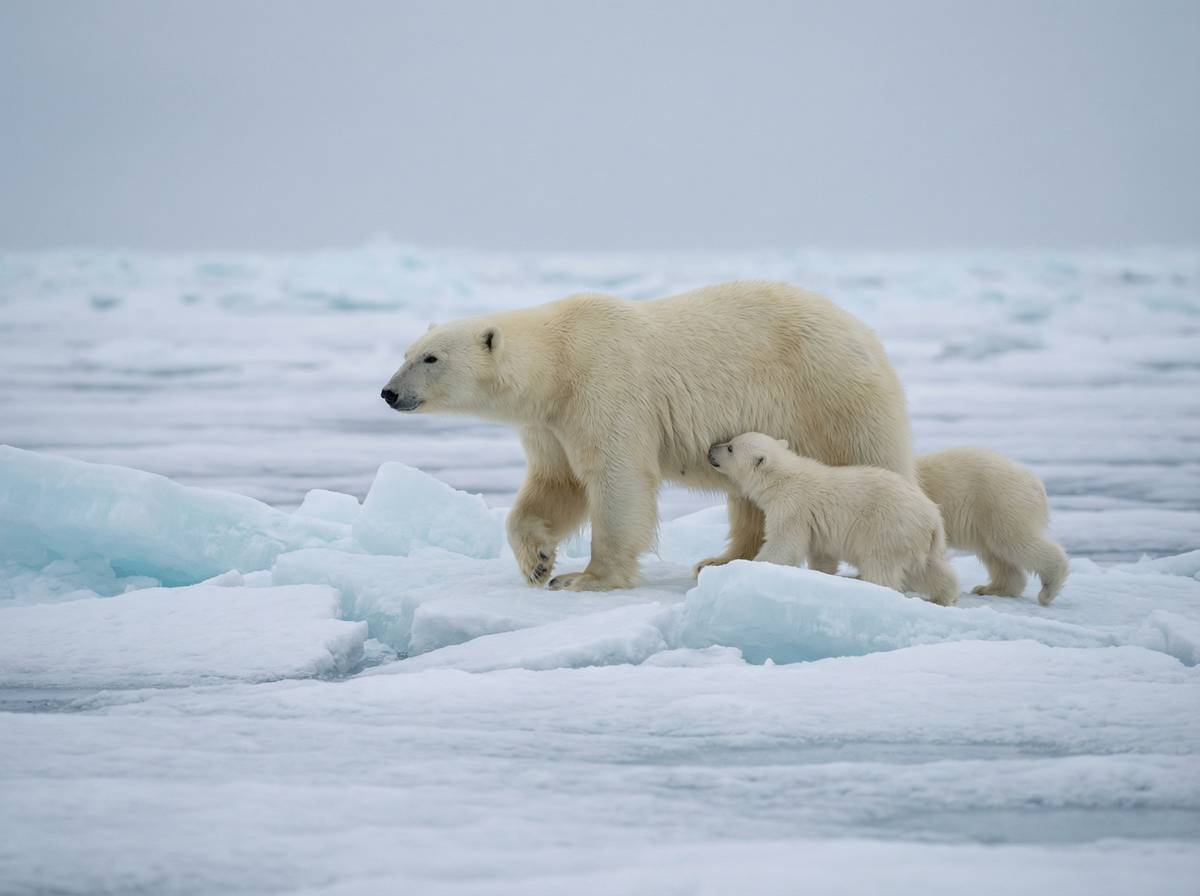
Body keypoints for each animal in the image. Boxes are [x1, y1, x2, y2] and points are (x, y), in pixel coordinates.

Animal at [381, 281, 913, 591]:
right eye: (406, 352)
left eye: (431, 358)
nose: (388, 392)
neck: (558, 360)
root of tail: (862, 330)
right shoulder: (550, 420)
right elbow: (556, 483)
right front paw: (538, 561)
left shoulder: (604, 382)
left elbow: (616, 477)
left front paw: (586, 578)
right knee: (749, 497)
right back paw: (720, 563)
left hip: (829, 392)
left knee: (873, 458)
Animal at [708, 432, 959, 605]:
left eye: (730, 447)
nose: (711, 449)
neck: (782, 478)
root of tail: (933, 519)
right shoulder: (816, 527)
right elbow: (822, 555)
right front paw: (822, 575)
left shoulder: (792, 507)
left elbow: (784, 544)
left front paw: (752, 566)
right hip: (918, 540)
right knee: (929, 569)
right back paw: (944, 596)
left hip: (887, 529)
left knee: (881, 566)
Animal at [917, 447, 1068, 605]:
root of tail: (1035, 483)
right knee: (997, 553)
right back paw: (990, 589)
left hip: (1001, 502)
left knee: (1016, 542)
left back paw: (1048, 589)